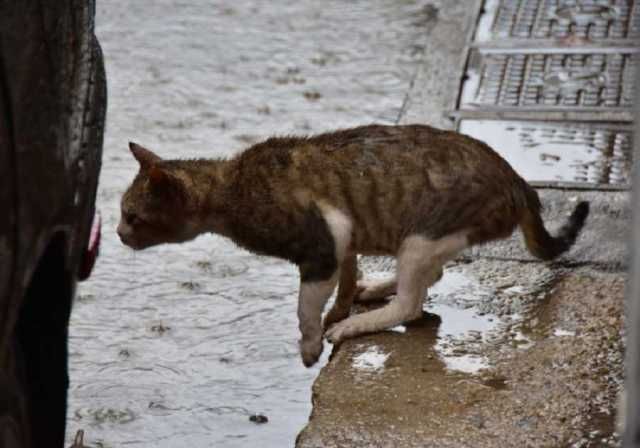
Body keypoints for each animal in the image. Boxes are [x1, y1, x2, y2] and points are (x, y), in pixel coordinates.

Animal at [117, 123, 588, 368]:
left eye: (132, 216)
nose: (119, 234)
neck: (230, 187)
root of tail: (516, 181)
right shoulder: (342, 236)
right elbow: (346, 275)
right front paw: (341, 305)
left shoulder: (322, 245)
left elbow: (305, 309)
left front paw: (313, 342)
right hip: (423, 240)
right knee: (429, 276)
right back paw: (374, 290)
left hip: (424, 233)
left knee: (412, 304)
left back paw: (359, 323)